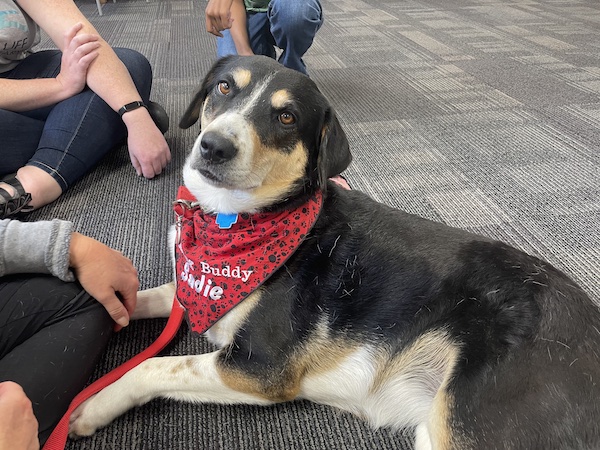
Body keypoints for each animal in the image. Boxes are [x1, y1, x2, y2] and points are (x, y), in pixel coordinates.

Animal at [69, 56, 600, 450]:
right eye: (223, 87)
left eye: (286, 117)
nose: (213, 146)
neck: (228, 221)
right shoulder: (188, 290)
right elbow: (146, 294)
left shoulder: (260, 368)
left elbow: (152, 365)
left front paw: (90, 407)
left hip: (465, 420)